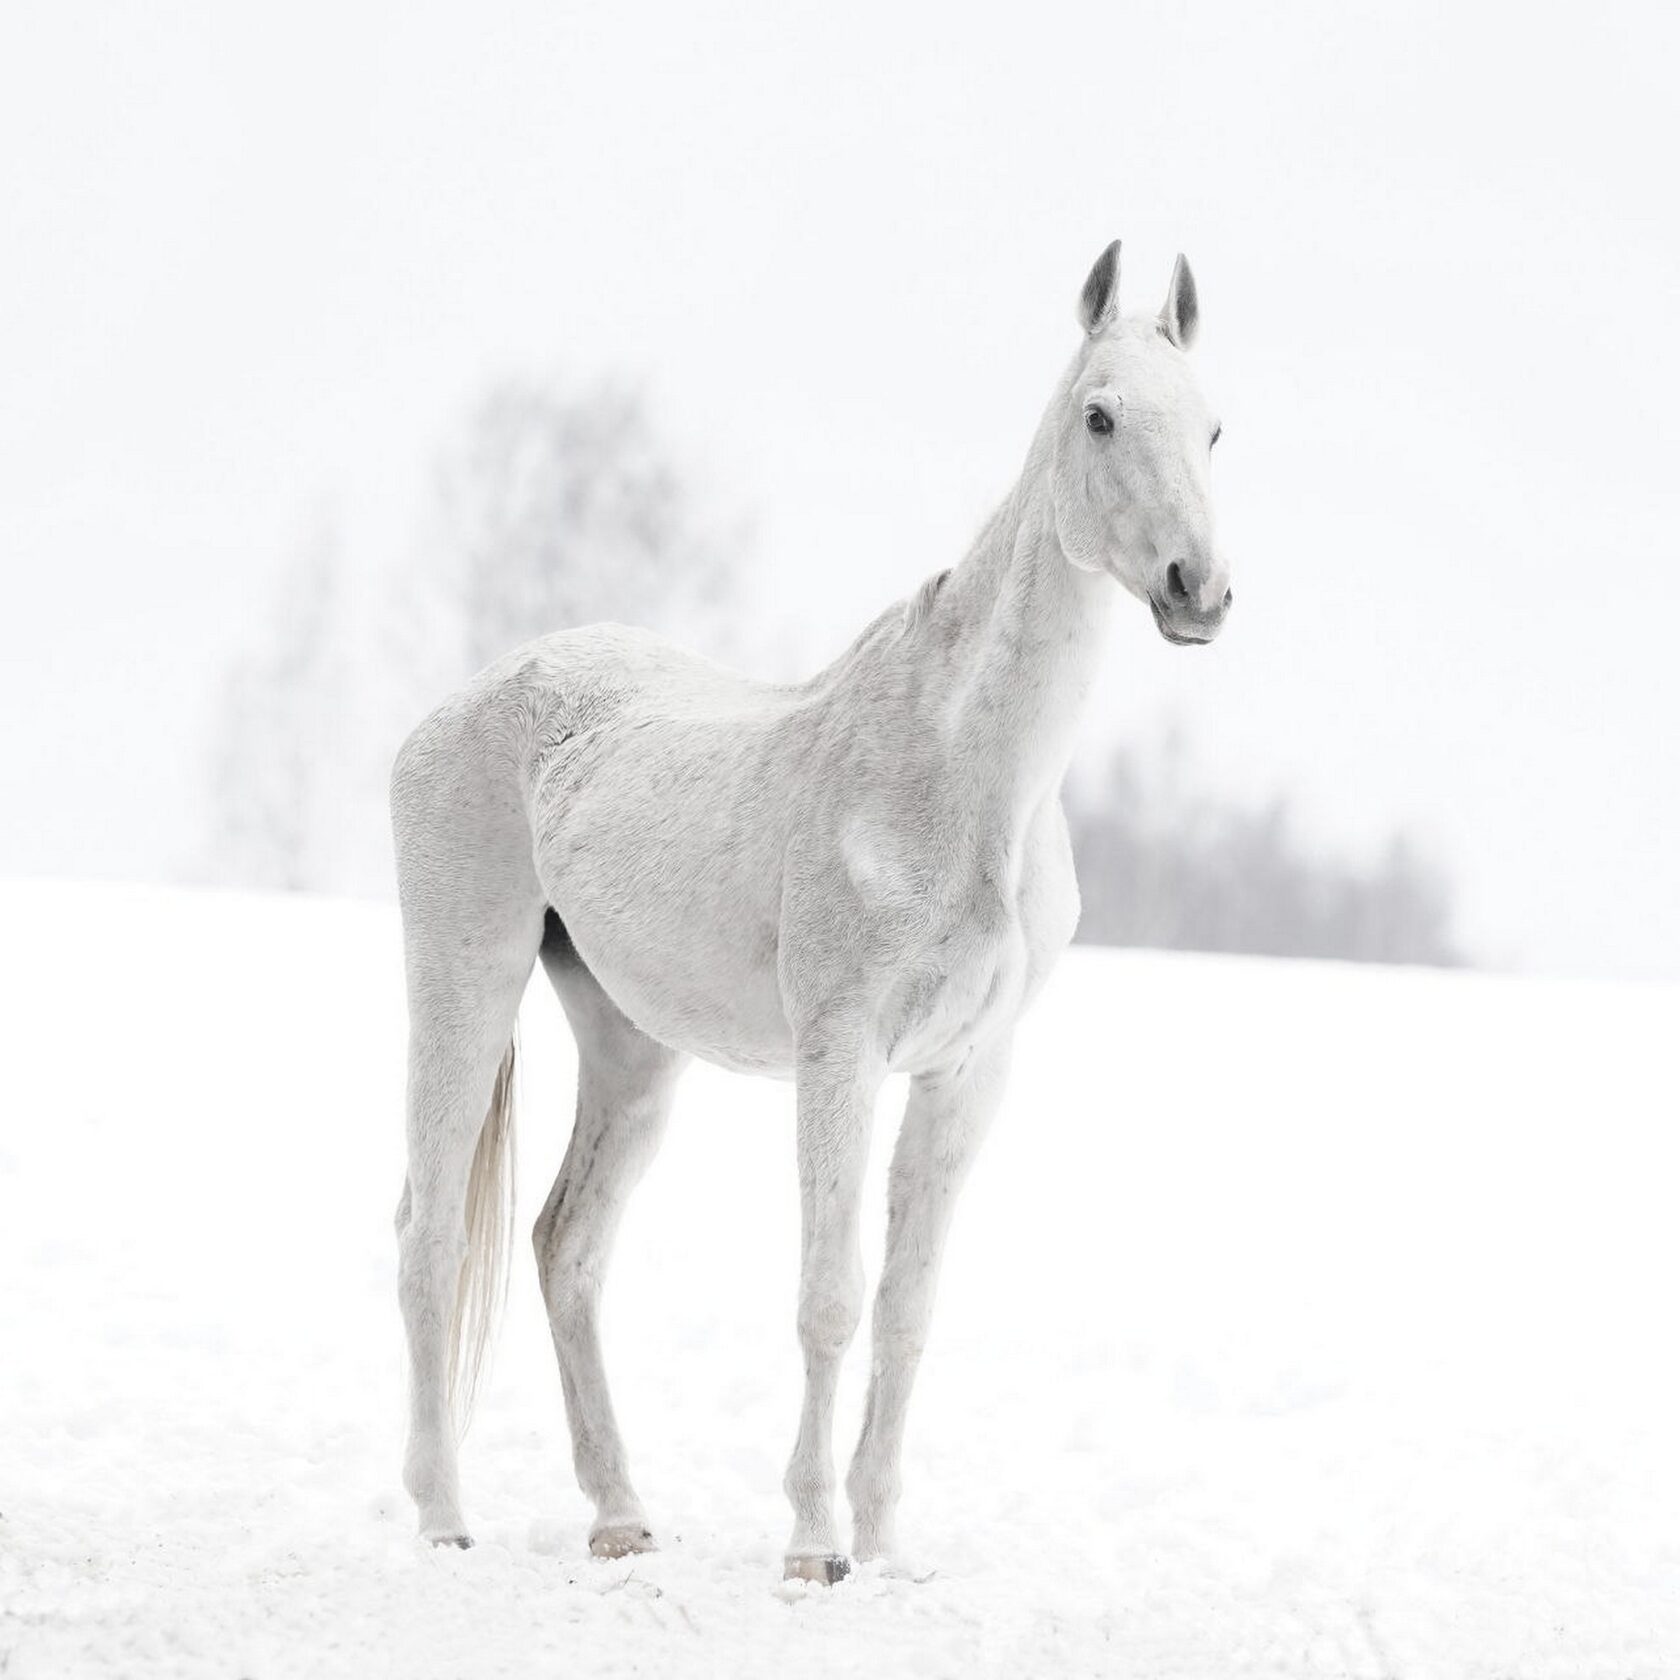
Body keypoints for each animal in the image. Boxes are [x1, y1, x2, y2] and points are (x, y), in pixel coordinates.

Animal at [393, 243, 1236, 1579]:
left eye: (1213, 427)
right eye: (1101, 416)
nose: (1196, 591)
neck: (961, 781)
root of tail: (464, 703)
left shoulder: (965, 1072)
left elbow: (906, 1310)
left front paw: (886, 1548)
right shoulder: (842, 1057)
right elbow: (831, 1300)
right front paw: (813, 1544)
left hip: (632, 1049)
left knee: (566, 1250)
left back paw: (622, 1517)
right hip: (463, 986)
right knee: (430, 1238)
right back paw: (442, 1520)